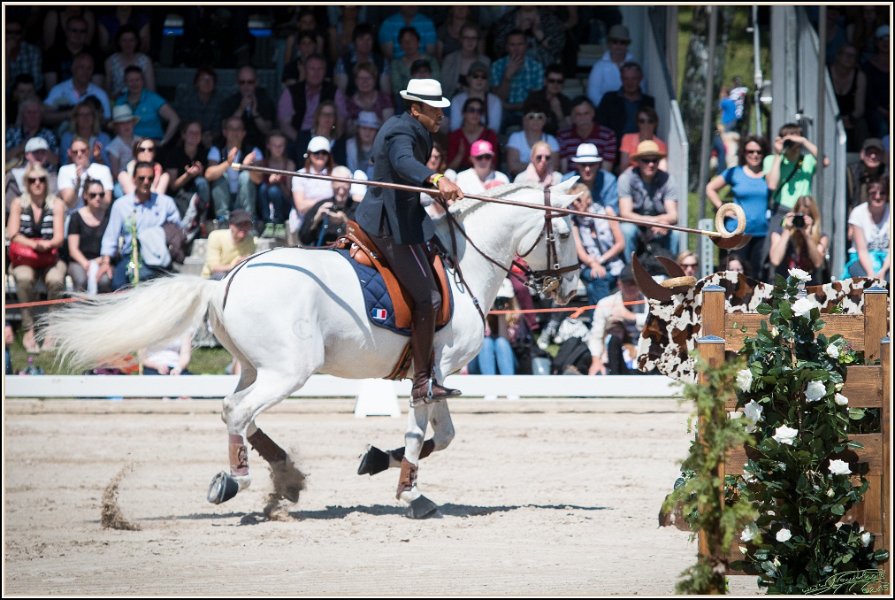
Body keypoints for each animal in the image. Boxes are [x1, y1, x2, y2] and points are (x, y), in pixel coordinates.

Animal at [43, 179, 583, 518]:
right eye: (564, 231)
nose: (574, 287)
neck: (461, 263)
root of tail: (222, 282)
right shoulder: (434, 371)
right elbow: (418, 435)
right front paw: (411, 494)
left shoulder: (434, 376)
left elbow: (443, 437)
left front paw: (377, 460)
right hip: (289, 372)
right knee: (238, 412)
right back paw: (236, 481)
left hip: (255, 368)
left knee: (235, 409)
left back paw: (285, 474)